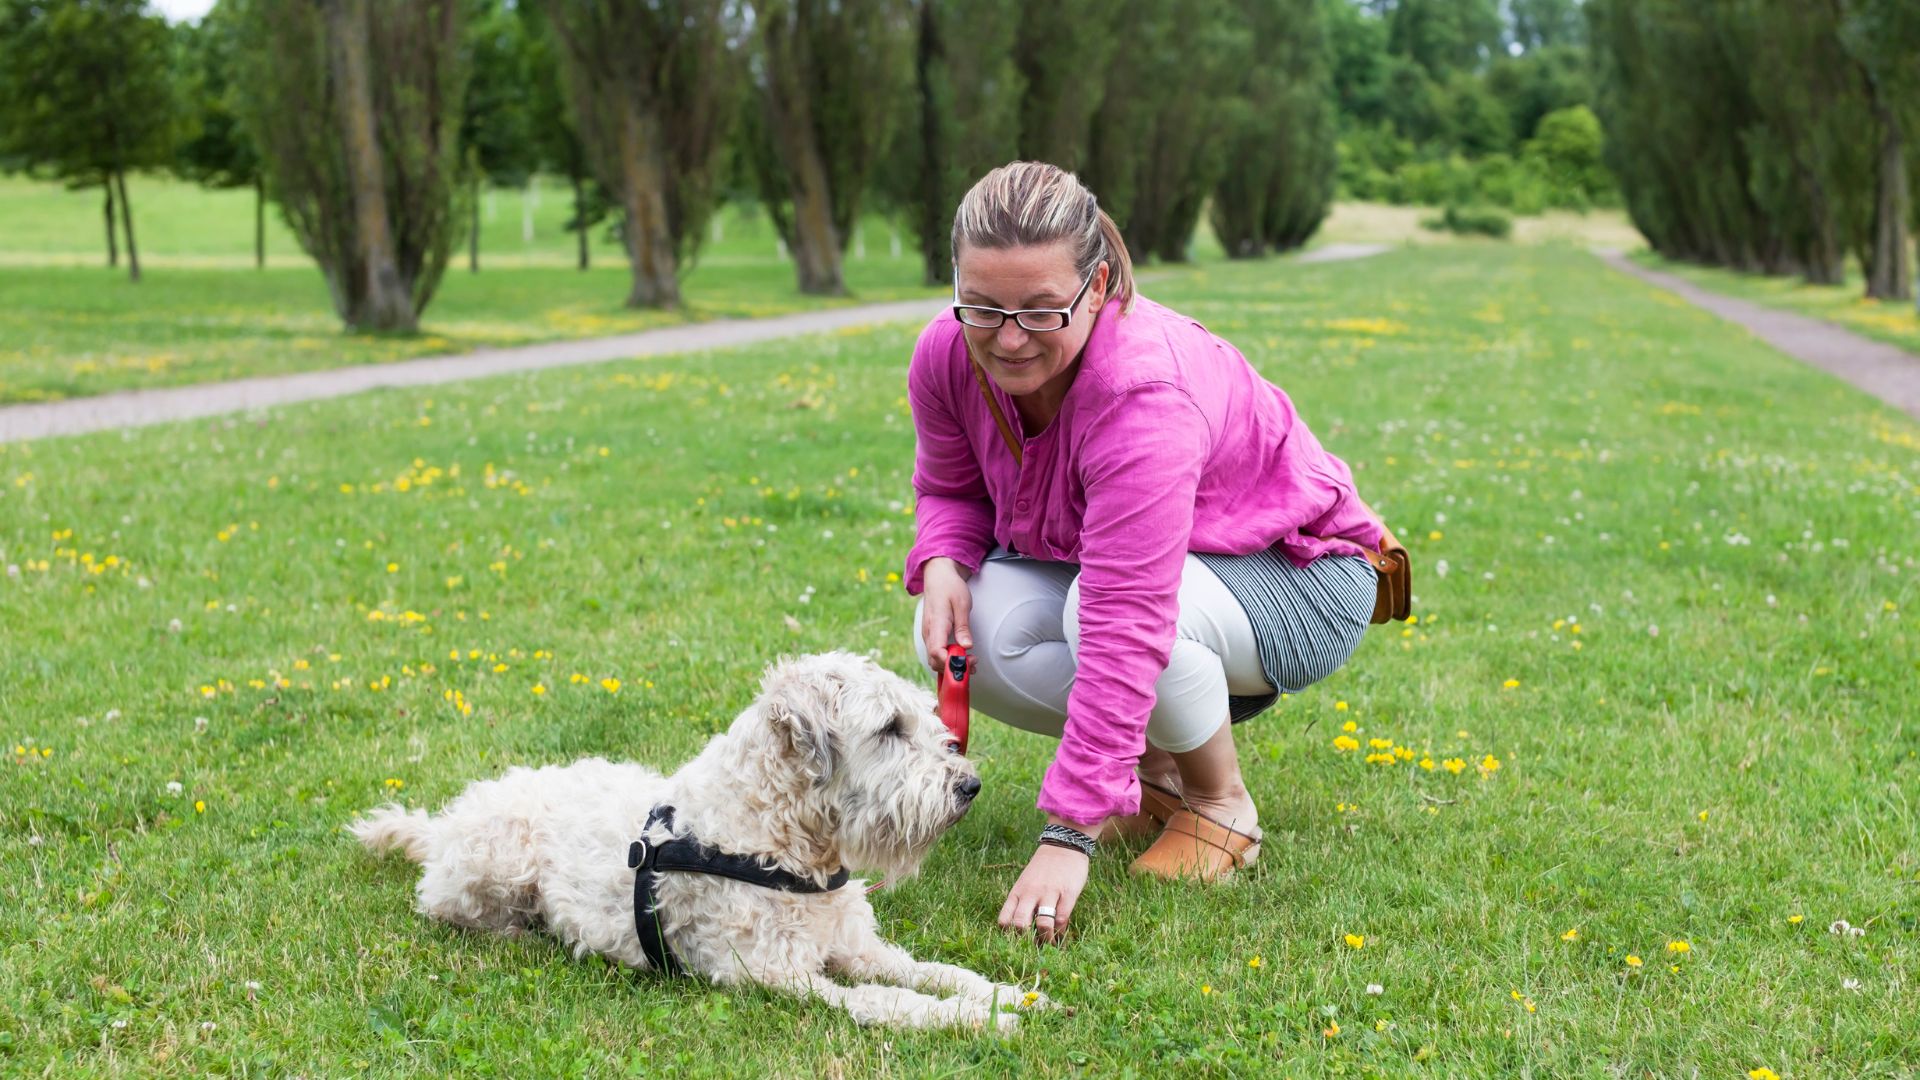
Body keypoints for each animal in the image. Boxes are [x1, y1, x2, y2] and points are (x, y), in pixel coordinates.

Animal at [360, 645, 1052, 1022]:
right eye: (888, 727)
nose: (969, 786)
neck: (781, 840)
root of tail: (445, 825)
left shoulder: (859, 948)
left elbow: (934, 971)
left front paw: (1009, 997)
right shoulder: (777, 977)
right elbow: (884, 1003)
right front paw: (974, 1023)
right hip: (494, 864)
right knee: (450, 908)